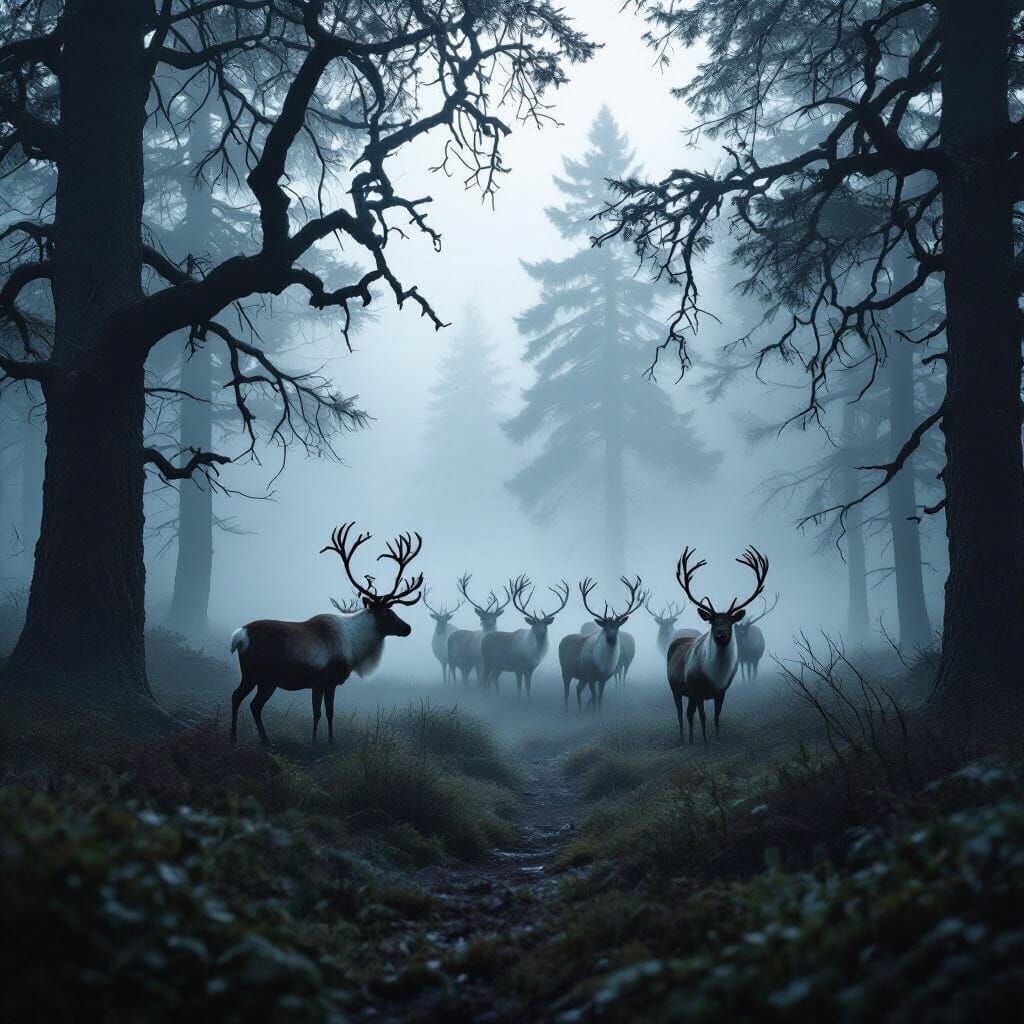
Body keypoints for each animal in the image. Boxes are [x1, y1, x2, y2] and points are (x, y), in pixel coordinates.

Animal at [229, 523, 423, 747]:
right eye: (386, 613)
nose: (407, 628)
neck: (355, 647)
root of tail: (240, 635)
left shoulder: (327, 683)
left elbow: (329, 713)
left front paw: (329, 741)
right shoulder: (323, 680)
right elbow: (320, 713)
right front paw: (316, 743)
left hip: (260, 678)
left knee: (247, 701)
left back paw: (253, 739)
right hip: (258, 675)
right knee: (244, 700)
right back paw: (245, 739)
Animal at [558, 576, 644, 712]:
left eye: (617, 626)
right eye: (605, 627)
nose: (612, 637)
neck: (603, 665)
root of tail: (562, 640)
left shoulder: (603, 679)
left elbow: (600, 698)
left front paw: (598, 712)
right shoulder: (591, 677)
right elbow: (594, 697)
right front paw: (593, 713)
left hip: (582, 677)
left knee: (578, 689)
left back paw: (580, 710)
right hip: (566, 670)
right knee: (566, 692)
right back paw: (567, 710)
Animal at [666, 546, 769, 745]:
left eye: (730, 623)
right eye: (712, 622)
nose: (722, 634)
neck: (714, 676)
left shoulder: (721, 692)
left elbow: (716, 717)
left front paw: (718, 738)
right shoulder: (697, 690)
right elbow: (703, 718)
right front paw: (706, 742)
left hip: (689, 694)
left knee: (689, 714)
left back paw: (691, 741)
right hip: (675, 688)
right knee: (681, 715)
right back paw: (683, 740)